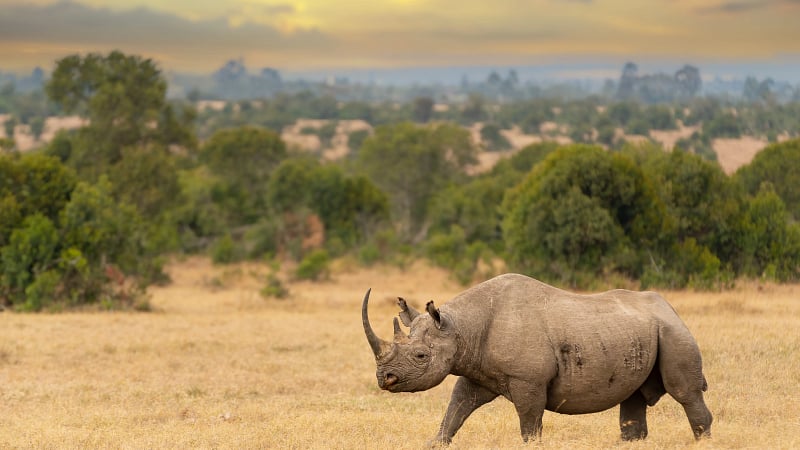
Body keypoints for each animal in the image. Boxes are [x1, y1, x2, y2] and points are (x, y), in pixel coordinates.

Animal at [362, 273, 712, 444]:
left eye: (421, 355)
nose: (384, 379)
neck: (460, 327)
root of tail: (670, 308)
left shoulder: (527, 381)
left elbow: (530, 425)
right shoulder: (475, 371)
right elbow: (454, 412)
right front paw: (436, 442)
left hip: (674, 332)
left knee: (685, 393)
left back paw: (703, 441)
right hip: (642, 332)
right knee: (634, 399)